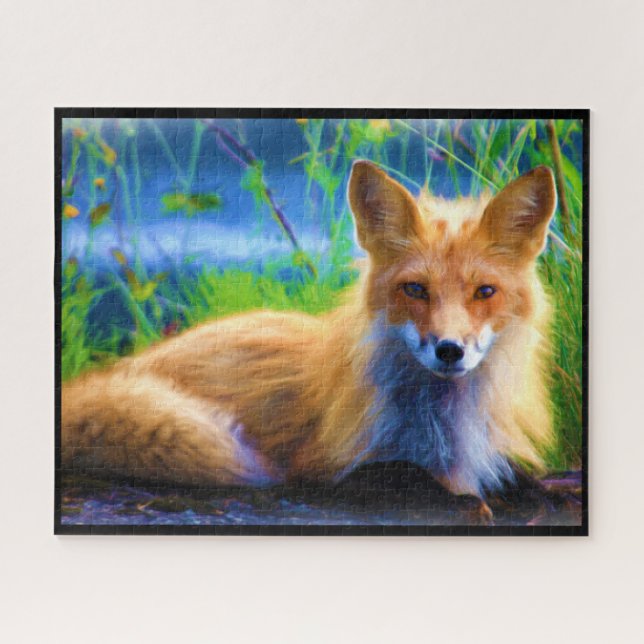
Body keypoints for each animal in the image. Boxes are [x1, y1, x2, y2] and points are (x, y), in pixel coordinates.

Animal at [61, 160, 557, 513]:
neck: (444, 427)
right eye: (415, 289)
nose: (449, 350)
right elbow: (407, 475)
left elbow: (520, 481)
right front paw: (465, 501)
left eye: (484, 292)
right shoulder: (327, 466)